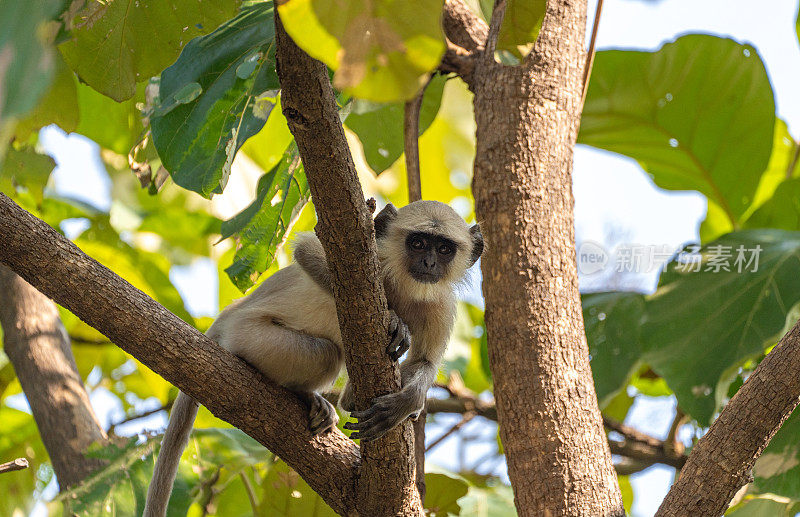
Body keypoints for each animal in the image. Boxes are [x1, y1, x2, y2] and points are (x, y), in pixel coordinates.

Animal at [142, 201, 482, 516]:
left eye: (444, 248)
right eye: (418, 243)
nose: (429, 262)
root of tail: (229, 316)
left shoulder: (440, 306)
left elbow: (425, 362)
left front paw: (406, 403)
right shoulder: (376, 257)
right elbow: (307, 249)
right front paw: (393, 319)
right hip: (252, 337)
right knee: (329, 353)